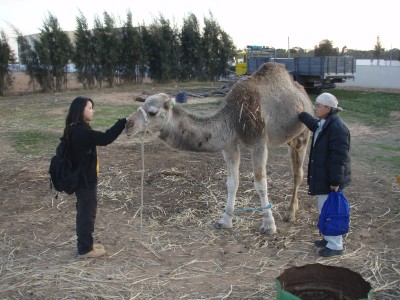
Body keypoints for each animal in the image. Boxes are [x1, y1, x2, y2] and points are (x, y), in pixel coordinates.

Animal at [126, 62, 314, 233]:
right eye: (141, 106)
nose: (128, 124)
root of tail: (303, 93)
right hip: (290, 139)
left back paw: (290, 214)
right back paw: (294, 208)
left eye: (152, 112)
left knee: (298, 173)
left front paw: (269, 225)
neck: (233, 116)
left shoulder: (259, 143)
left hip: (304, 133)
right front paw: (225, 221)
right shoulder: (229, 145)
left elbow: (260, 183)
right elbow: (232, 182)